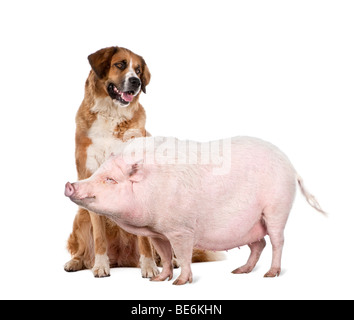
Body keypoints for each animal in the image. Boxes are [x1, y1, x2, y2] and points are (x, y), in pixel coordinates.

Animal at [64, 46, 213, 278]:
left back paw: (171, 261)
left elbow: (145, 240)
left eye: (139, 70)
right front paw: (100, 265)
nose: (135, 82)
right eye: (120, 64)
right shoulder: (89, 175)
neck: (111, 114)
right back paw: (76, 262)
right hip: (81, 218)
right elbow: (98, 237)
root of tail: (122, 259)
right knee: (83, 248)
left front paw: (149, 266)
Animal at [65, 136, 324, 284]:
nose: (70, 184)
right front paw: (158, 280)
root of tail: (292, 167)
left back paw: (270, 274)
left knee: (278, 241)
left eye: (110, 179)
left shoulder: (182, 229)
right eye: (98, 172)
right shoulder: (158, 232)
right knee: (259, 244)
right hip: (251, 224)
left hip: (276, 209)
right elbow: (165, 256)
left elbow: (182, 255)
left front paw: (179, 283)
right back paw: (239, 272)